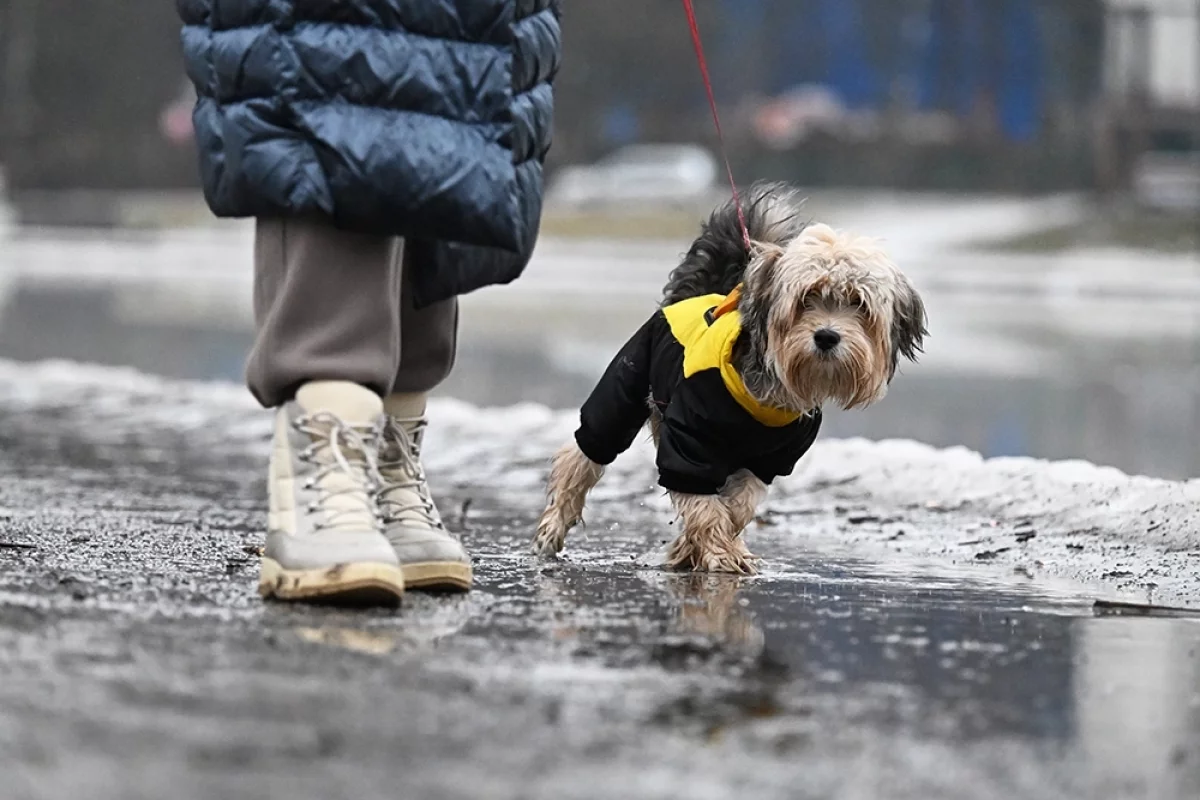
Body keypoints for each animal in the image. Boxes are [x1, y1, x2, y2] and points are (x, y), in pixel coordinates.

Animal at [530, 183, 921, 573]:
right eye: (806, 298)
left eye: (858, 303)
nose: (826, 336)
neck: (762, 399)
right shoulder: (688, 442)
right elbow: (702, 501)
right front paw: (716, 552)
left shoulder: (769, 460)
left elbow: (738, 505)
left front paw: (699, 547)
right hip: (624, 387)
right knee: (584, 452)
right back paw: (553, 527)